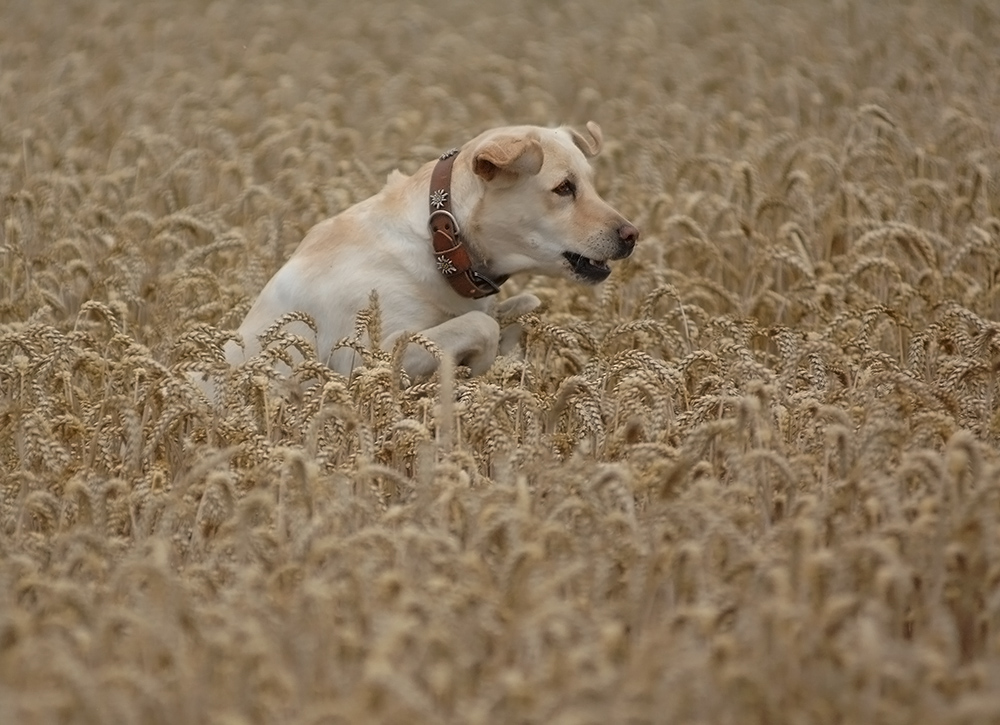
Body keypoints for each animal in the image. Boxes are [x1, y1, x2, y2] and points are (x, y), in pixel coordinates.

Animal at [223, 121, 636, 376]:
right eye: (564, 188)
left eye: (590, 183)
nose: (632, 235)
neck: (442, 243)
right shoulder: (363, 359)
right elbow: (483, 324)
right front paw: (476, 369)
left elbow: (525, 305)